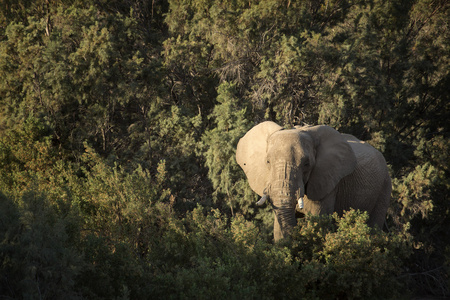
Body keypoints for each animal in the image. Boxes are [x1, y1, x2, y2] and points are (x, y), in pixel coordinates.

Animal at [236, 120, 390, 240]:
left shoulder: (327, 181)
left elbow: (318, 221)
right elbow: (278, 230)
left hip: (384, 185)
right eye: (268, 162)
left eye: (306, 164)